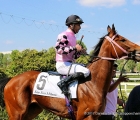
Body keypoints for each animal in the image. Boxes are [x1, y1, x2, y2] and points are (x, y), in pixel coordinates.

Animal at [0, 23, 140, 119]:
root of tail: (11, 80)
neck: (93, 83)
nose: (138, 49)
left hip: (32, 110)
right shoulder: (85, 116)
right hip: (16, 113)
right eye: (122, 39)